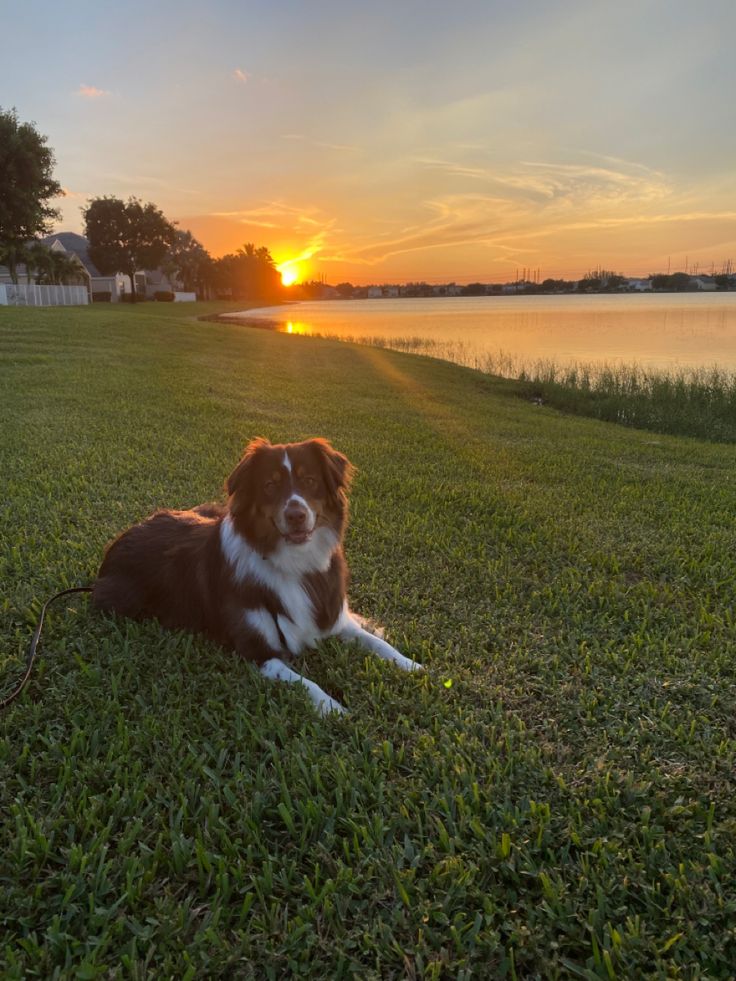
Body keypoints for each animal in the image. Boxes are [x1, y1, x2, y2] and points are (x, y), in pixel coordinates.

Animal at [92, 436, 422, 712]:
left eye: (310, 481)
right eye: (270, 486)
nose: (296, 515)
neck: (293, 563)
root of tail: (122, 537)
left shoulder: (330, 617)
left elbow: (376, 643)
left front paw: (412, 666)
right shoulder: (257, 651)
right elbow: (305, 684)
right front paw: (333, 708)